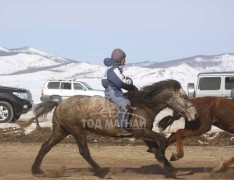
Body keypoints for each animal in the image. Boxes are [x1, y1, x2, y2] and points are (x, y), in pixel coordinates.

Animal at [28, 80, 197, 177]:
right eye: (185, 97)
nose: (195, 115)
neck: (144, 105)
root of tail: (59, 103)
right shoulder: (141, 132)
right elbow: (161, 140)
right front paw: (165, 159)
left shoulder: (144, 134)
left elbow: (156, 146)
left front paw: (171, 167)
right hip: (77, 131)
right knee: (84, 152)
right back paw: (101, 171)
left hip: (61, 131)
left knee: (45, 147)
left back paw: (36, 170)